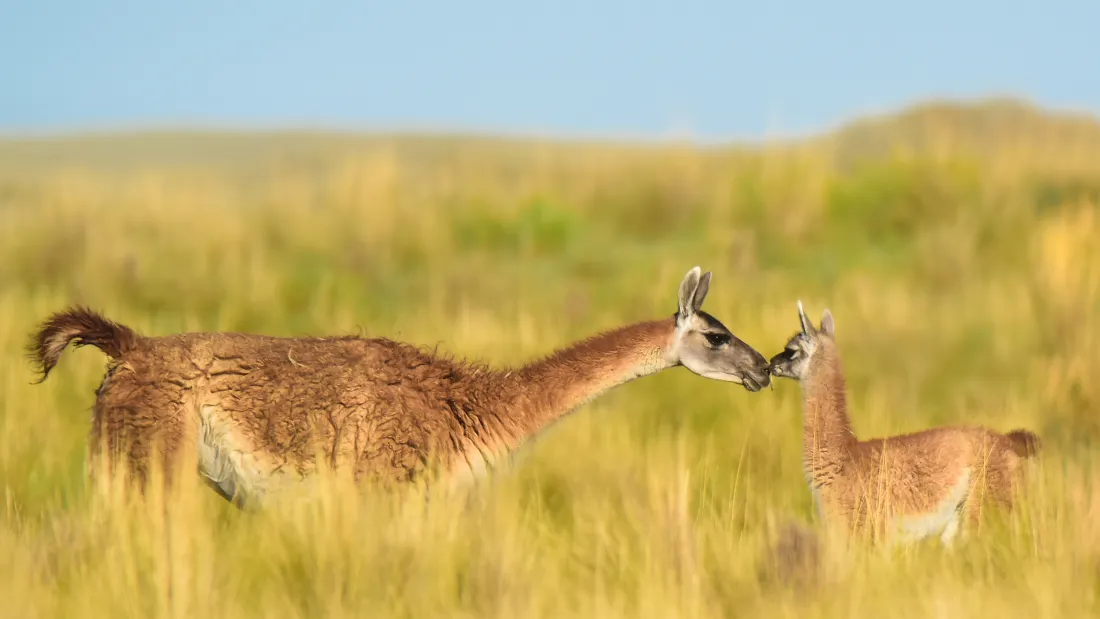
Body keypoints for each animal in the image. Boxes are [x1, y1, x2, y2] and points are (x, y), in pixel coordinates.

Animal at [28, 266, 772, 509]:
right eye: (716, 336)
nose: (764, 368)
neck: (482, 406)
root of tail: (128, 347)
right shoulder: (390, 491)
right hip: (148, 452)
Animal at [765, 301, 1041, 547]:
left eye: (790, 350)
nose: (770, 364)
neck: (843, 456)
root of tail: (1009, 440)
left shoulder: (860, 529)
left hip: (988, 501)